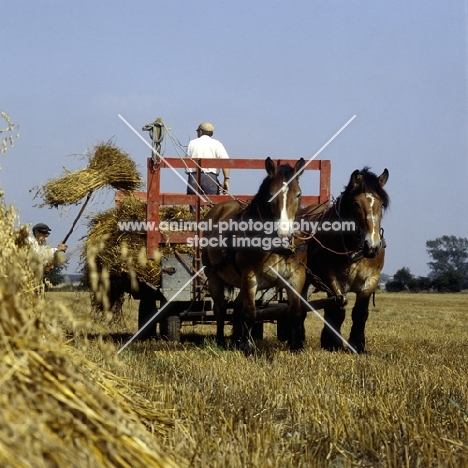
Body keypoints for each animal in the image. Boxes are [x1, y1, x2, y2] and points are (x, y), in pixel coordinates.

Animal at [201, 155, 308, 352]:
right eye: (271, 194)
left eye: (298, 194)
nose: (284, 235)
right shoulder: (249, 276)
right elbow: (250, 313)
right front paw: (246, 347)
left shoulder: (296, 276)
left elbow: (296, 312)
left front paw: (297, 346)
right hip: (214, 276)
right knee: (220, 309)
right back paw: (221, 340)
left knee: (236, 307)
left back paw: (236, 338)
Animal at [302, 166, 390, 352]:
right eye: (355, 203)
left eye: (382, 204)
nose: (372, 245)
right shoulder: (330, 276)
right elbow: (337, 310)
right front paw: (333, 344)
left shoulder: (372, 279)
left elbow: (360, 312)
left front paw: (358, 345)